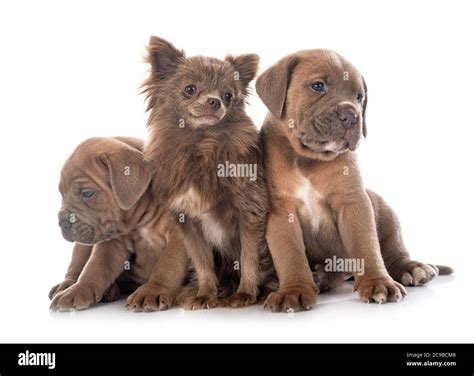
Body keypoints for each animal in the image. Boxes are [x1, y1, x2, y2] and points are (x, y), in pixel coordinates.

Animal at [49, 137, 187, 312]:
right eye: (61, 194)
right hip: (83, 245)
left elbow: (168, 264)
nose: (62, 222)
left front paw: (153, 289)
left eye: (87, 193)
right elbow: (94, 268)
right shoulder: (111, 243)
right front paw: (77, 290)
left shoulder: (179, 235)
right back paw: (69, 286)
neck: (142, 217)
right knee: (76, 266)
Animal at [139, 36, 268, 310]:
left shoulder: (250, 213)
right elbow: (202, 262)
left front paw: (246, 293)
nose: (215, 101)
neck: (201, 146)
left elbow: (249, 256)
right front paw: (205, 294)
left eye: (228, 95)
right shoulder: (188, 222)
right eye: (190, 89)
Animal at [256, 50, 452, 314]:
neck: (309, 159)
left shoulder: (354, 203)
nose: (351, 115)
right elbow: (290, 254)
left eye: (359, 97)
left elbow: (366, 245)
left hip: (385, 212)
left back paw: (412, 267)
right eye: (318, 86)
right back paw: (320, 277)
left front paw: (378, 283)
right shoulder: (282, 211)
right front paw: (293, 290)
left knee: (394, 251)